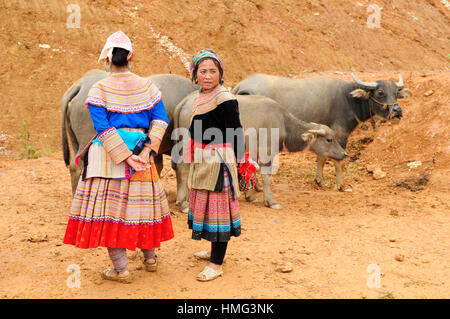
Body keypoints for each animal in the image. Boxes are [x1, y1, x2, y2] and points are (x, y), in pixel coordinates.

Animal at [171, 92, 346, 211]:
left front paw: (250, 196)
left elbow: (250, 171)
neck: (283, 123)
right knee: (183, 168)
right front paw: (271, 201)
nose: (344, 154)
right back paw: (184, 203)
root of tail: (184, 103)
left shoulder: (252, 151)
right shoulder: (267, 152)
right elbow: (266, 177)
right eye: (329, 139)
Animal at [230, 73, 410, 190]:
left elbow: (322, 157)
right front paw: (341, 185)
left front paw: (320, 181)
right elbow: (338, 161)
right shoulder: (340, 134)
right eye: (380, 92)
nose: (397, 111)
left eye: (396, 93)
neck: (349, 99)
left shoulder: (324, 135)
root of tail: (241, 86)